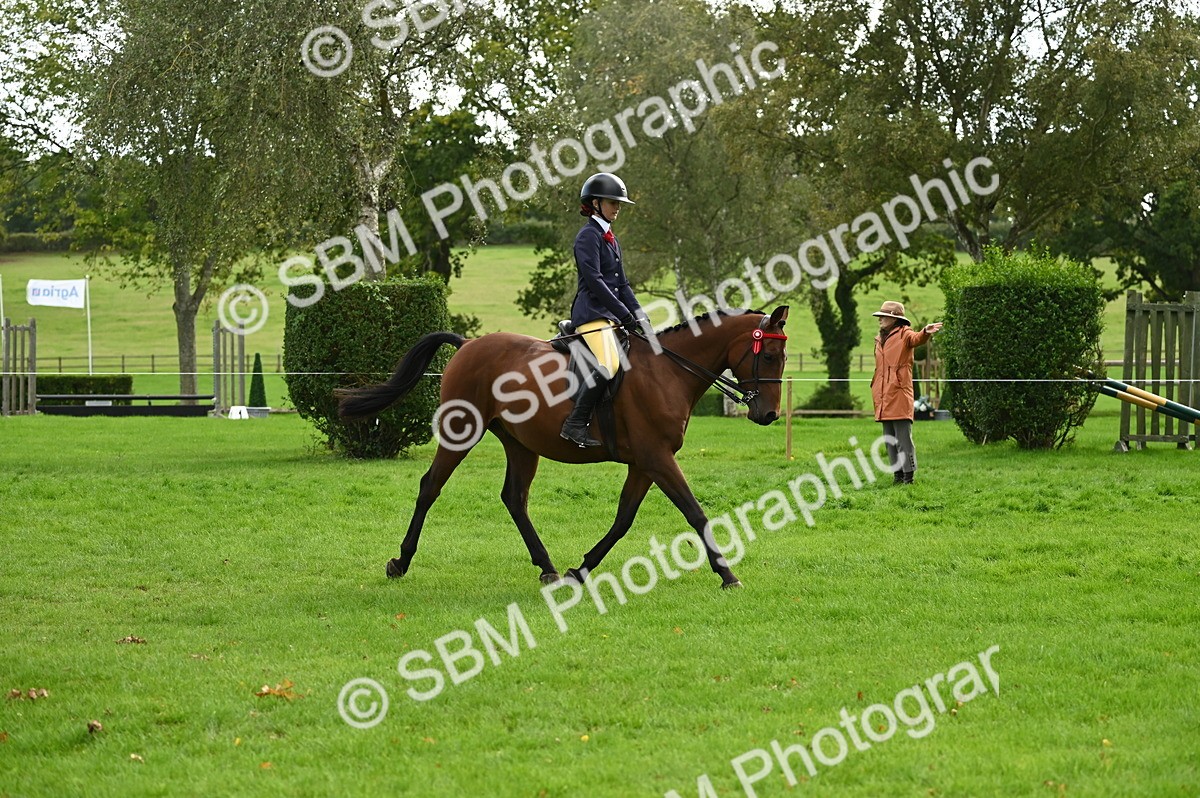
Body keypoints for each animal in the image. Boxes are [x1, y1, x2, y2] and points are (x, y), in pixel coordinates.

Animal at [336, 305, 789, 589]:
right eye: (768, 356)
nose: (768, 414)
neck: (668, 372)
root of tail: (467, 345)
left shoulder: (645, 463)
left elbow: (623, 519)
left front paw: (581, 569)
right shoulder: (657, 459)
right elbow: (695, 513)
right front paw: (728, 575)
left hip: (520, 443)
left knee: (514, 498)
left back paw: (548, 568)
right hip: (462, 430)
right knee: (431, 486)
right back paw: (400, 561)